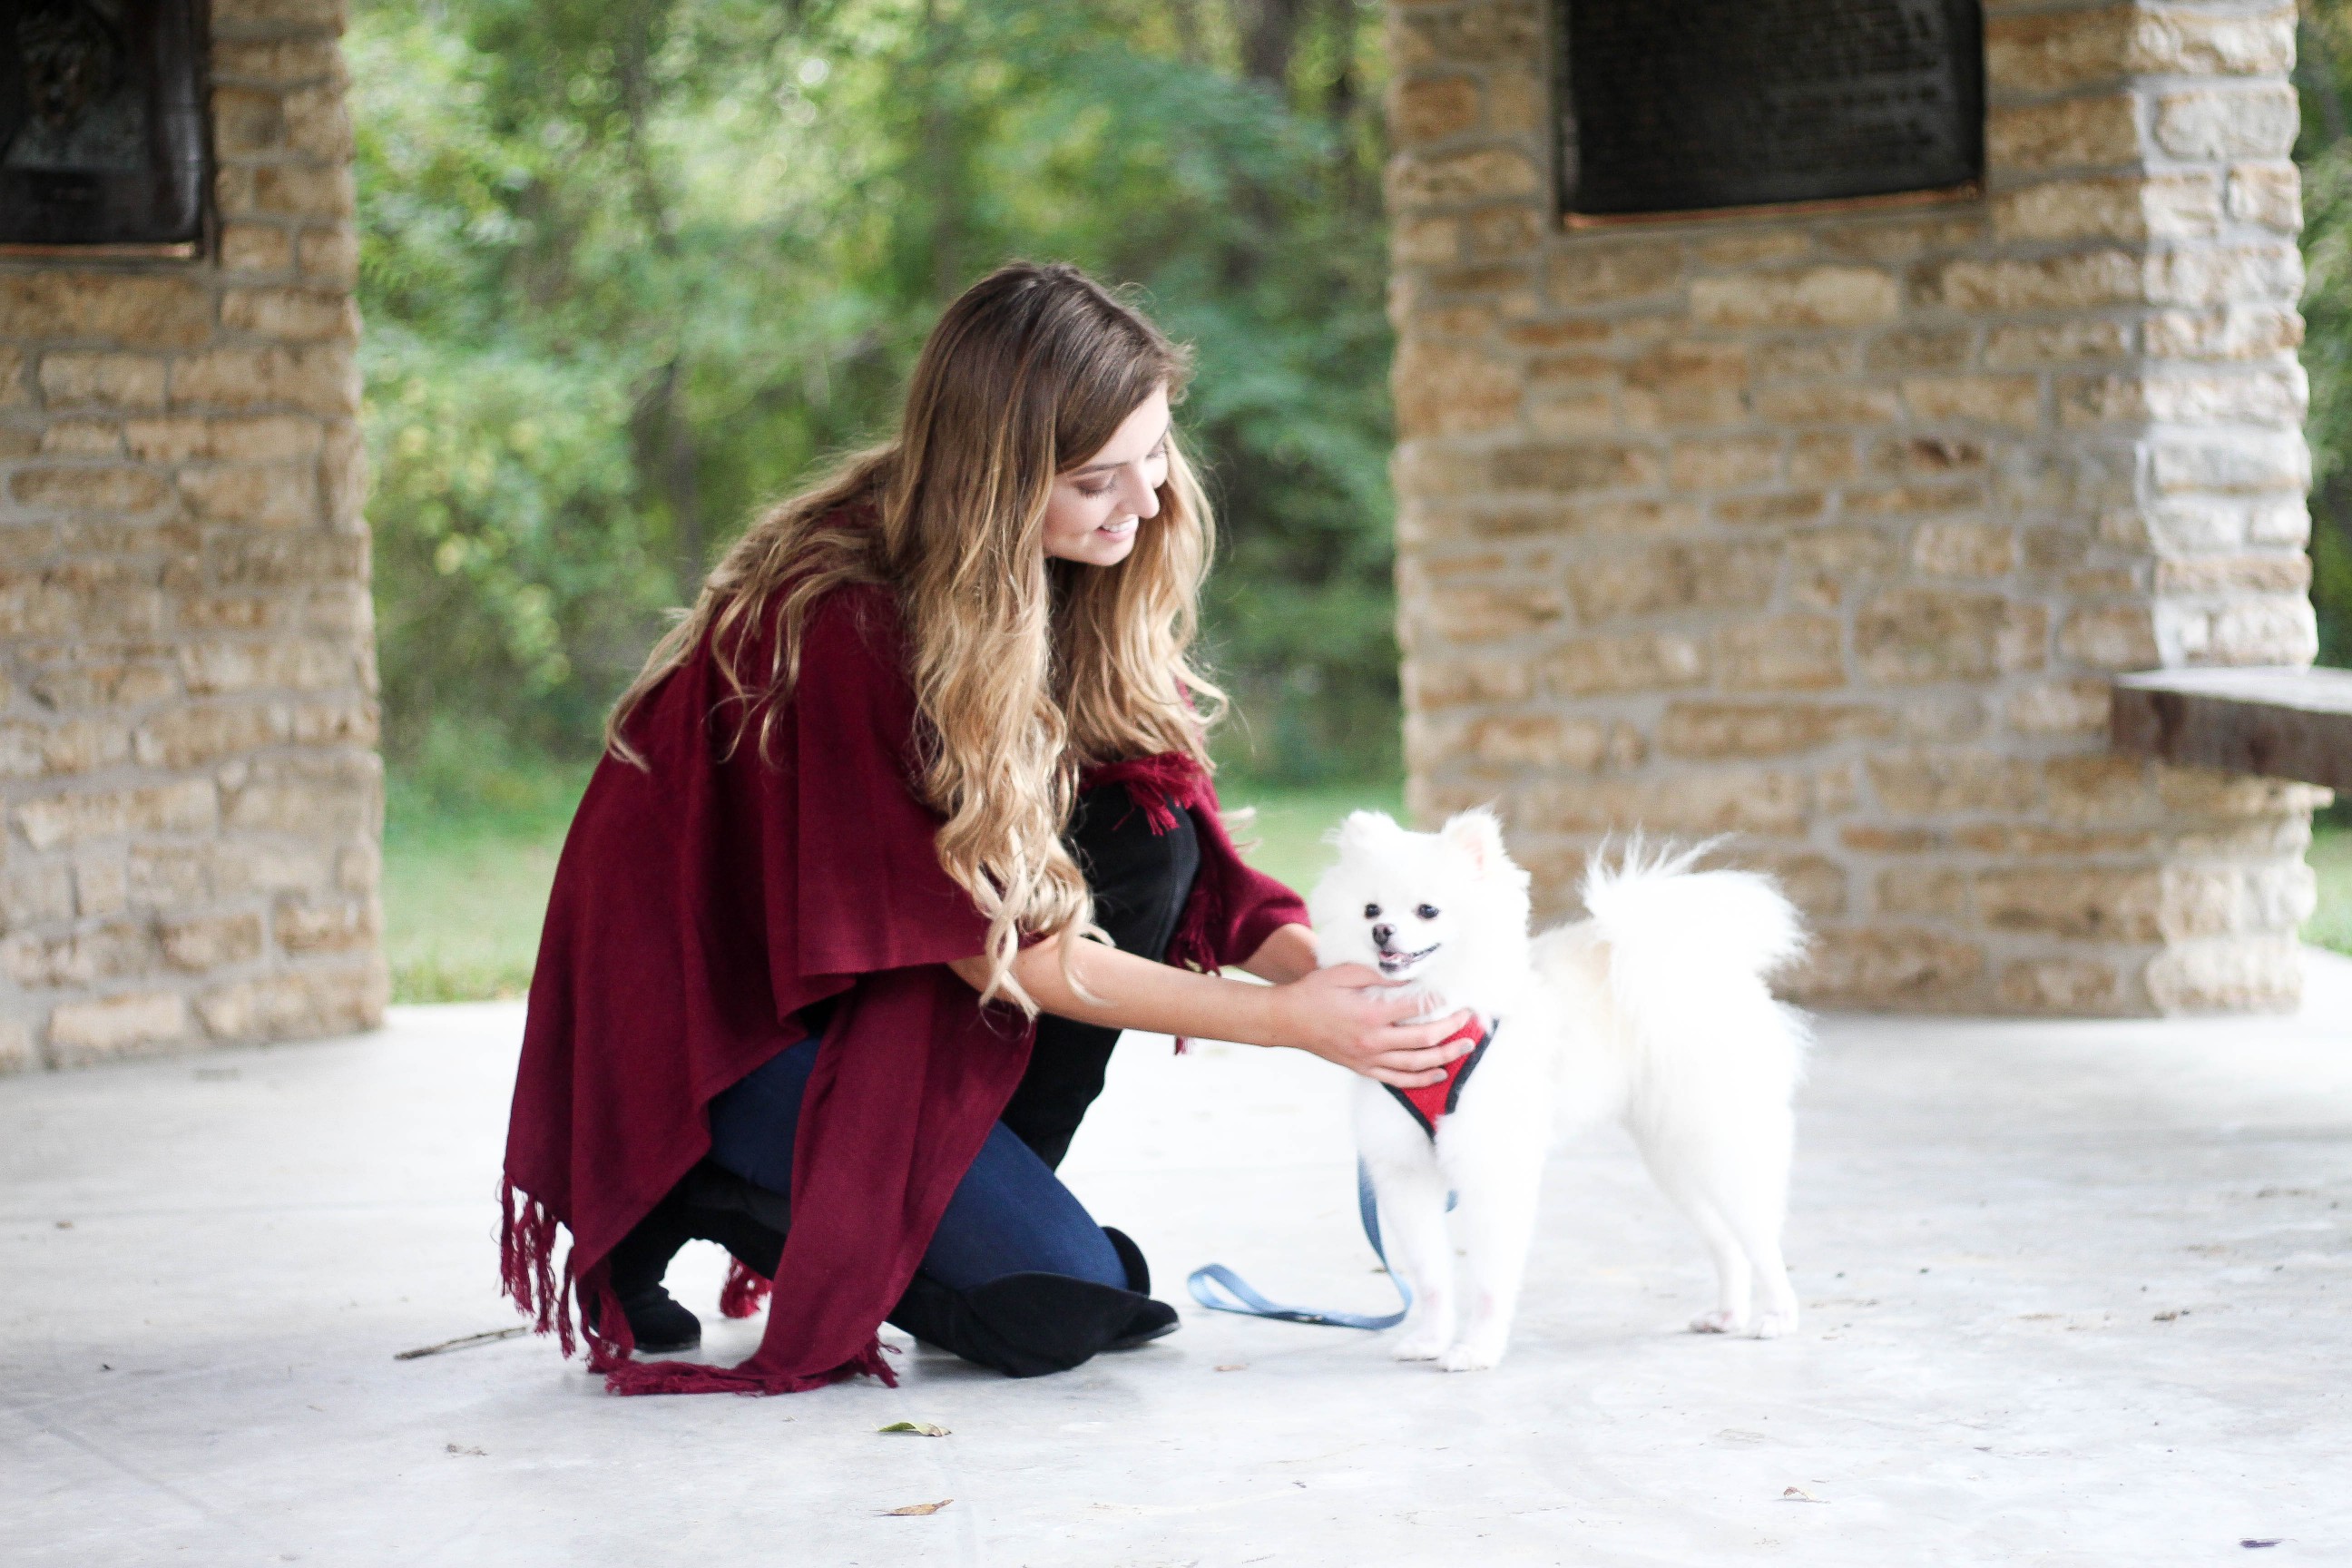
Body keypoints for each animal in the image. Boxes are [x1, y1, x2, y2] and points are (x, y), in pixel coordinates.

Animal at [1317, 808, 1806, 1372]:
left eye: (1428, 910)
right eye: (1370, 908)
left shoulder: (1493, 1169)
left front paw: (1477, 1349)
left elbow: (1489, 1281)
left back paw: (1778, 1316)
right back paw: (1726, 1314)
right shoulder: (1405, 1173)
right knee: (1725, 1241)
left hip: (1719, 1143)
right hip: (1672, 1157)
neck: (1432, 1010)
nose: (1382, 931)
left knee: (1760, 1239)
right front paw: (1431, 1341)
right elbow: (1431, 1278)